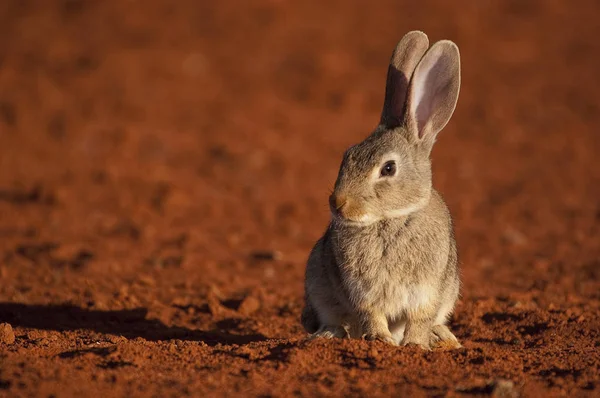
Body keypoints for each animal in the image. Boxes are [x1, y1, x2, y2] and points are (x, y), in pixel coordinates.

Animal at [302, 30, 462, 348]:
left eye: (388, 169)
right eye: (347, 155)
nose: (338, 203)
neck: (391, 218)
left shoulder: (426, 291)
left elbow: (419, 319)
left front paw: (415, 345)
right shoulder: (362, 292)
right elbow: (370, 314)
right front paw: (380, 341)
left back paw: (443, 338)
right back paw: (326, 335)